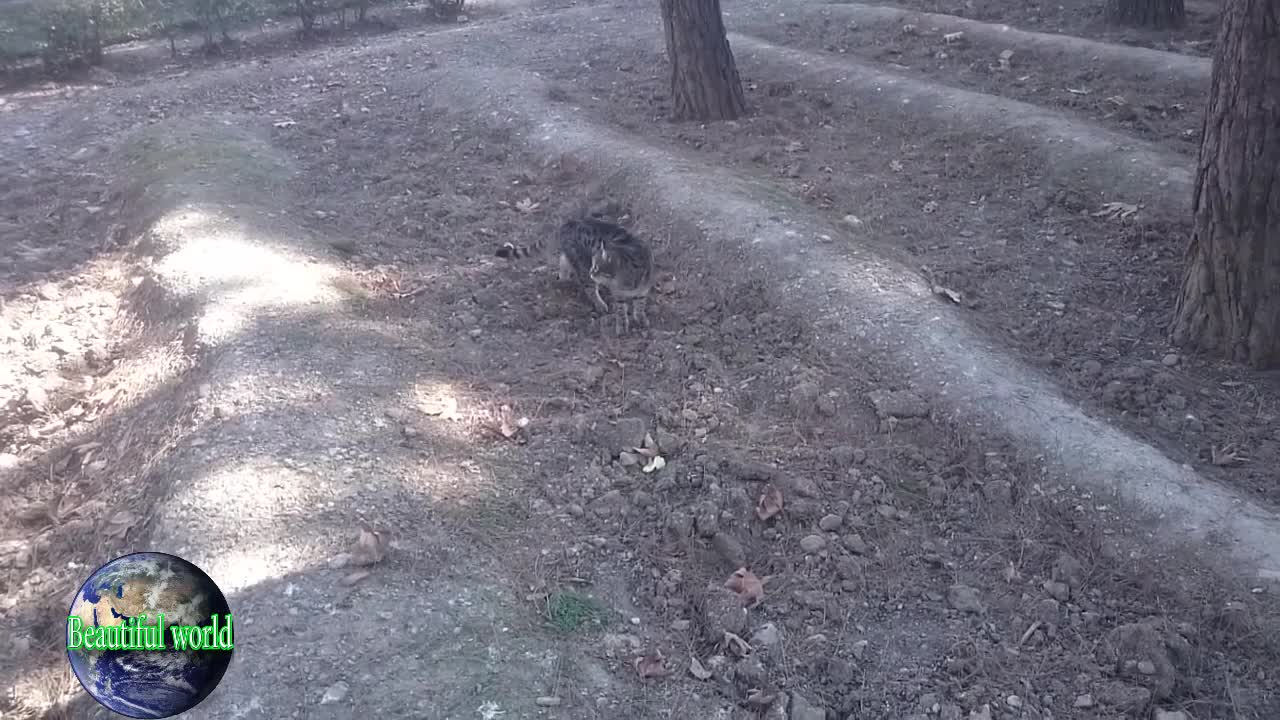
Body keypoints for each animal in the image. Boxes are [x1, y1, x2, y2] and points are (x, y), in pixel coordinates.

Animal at [494, 215, 655, 333]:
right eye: (594, 265)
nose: (591, 272)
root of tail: (567, 223)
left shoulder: (643, 290)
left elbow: (640, 305)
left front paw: (641, 319)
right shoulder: (618, 294)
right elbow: (621, 312)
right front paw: (622, 327)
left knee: (564, 260)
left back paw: (563, 279)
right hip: (581, 264)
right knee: (589, 288)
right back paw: (599, 304)